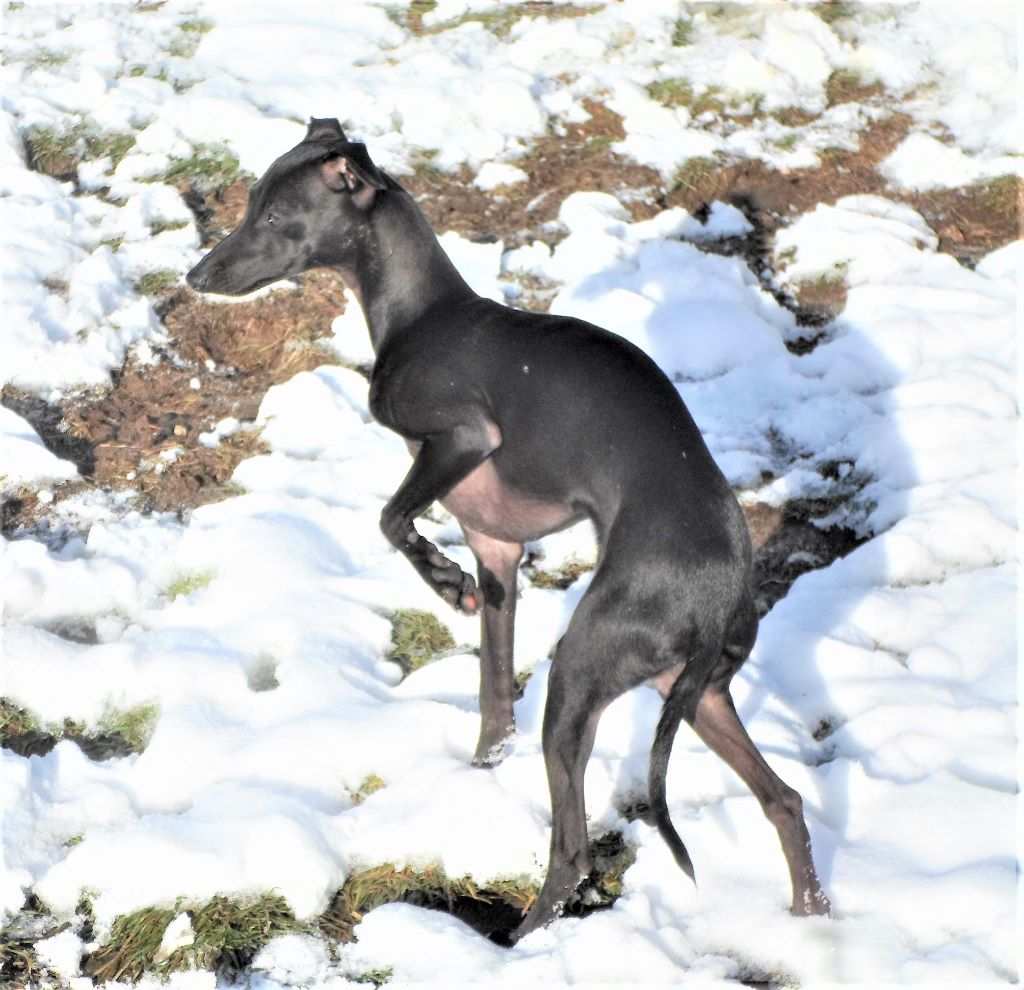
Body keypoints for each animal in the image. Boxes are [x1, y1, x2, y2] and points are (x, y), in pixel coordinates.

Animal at [186, 119, 831, 941]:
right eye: (249, 204)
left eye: (272, 217)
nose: (195, 276)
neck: (420, 312)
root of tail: (718, 590)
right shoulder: (499, 550)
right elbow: (493, 699)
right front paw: (477, 774)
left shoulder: (465, 437)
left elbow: (391, 518)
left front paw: (445, 583)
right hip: (696, 693)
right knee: (784, 801)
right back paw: (813, 919)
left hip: (581, 673)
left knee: (573, 851)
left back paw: (520, 945)